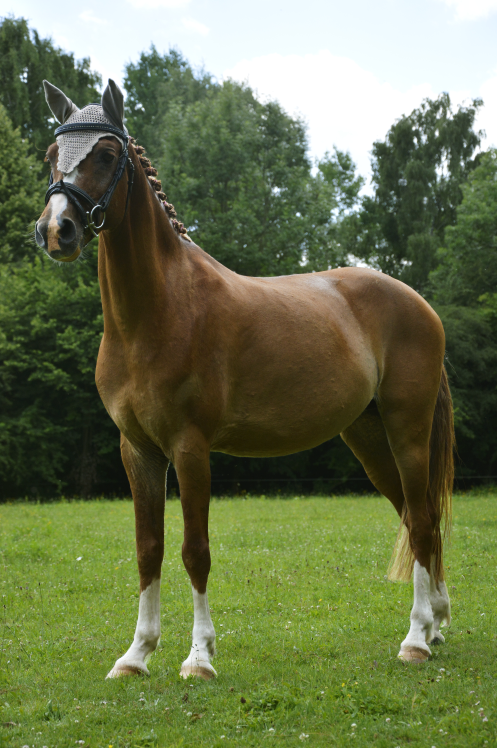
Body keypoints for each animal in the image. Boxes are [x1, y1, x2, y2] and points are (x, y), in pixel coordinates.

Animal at [35, 79, 454, 679]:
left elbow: (195, 550)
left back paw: (416, 638)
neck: (158, 311)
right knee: (419, 519)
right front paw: (136, 654)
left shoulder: (190, 449)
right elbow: (148, 548)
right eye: (52, 155)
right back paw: (437, 623)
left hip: (408, 432)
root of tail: (419, 304)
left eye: (107, 155)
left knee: (420, 520)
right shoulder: (138, 450)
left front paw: (198, 658)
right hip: (371, 439)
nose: (56, 230)